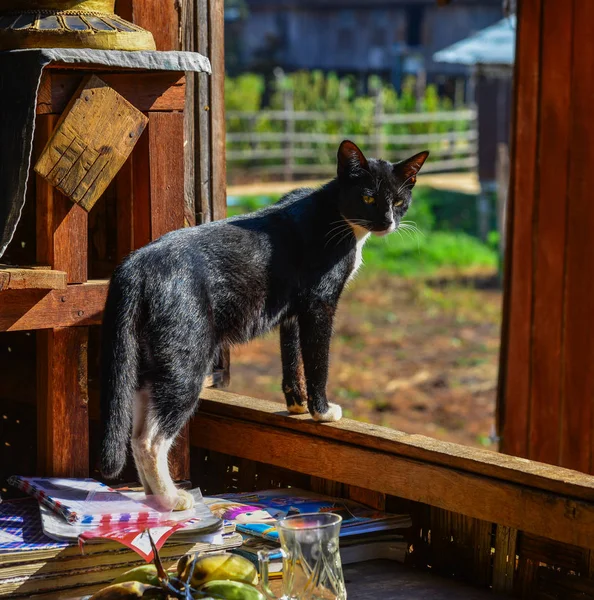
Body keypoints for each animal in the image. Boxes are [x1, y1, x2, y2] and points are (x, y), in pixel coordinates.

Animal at [100, 142, 426, 510]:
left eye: (398, 201)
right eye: (368, 197)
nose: (386, 221)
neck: (336, 216)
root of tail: (134, 266)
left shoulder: (292, 313)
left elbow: (291, 356)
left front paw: (297, 406)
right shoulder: (320, 303)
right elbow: (318, 361)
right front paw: (322, 411)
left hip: (148, 360)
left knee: (136, 430)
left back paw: (152, 497)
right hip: (184, 358)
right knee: (150, 439)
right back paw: (173, 499)